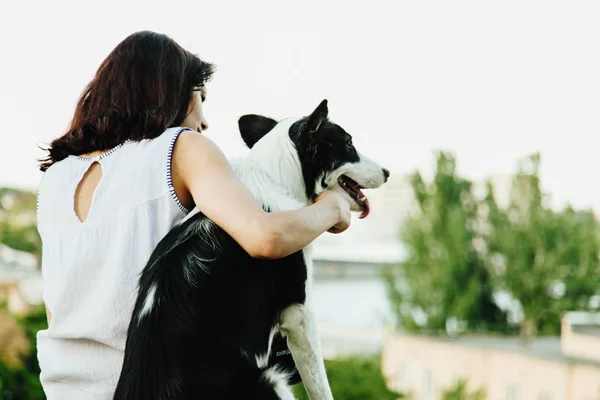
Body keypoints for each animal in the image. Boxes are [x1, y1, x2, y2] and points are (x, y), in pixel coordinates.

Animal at [113, 98, 390, 398]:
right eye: (349, 144)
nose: (387, 173)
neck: (276, 178)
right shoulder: (300, 314)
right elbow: (320, 385)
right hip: (271, 380)